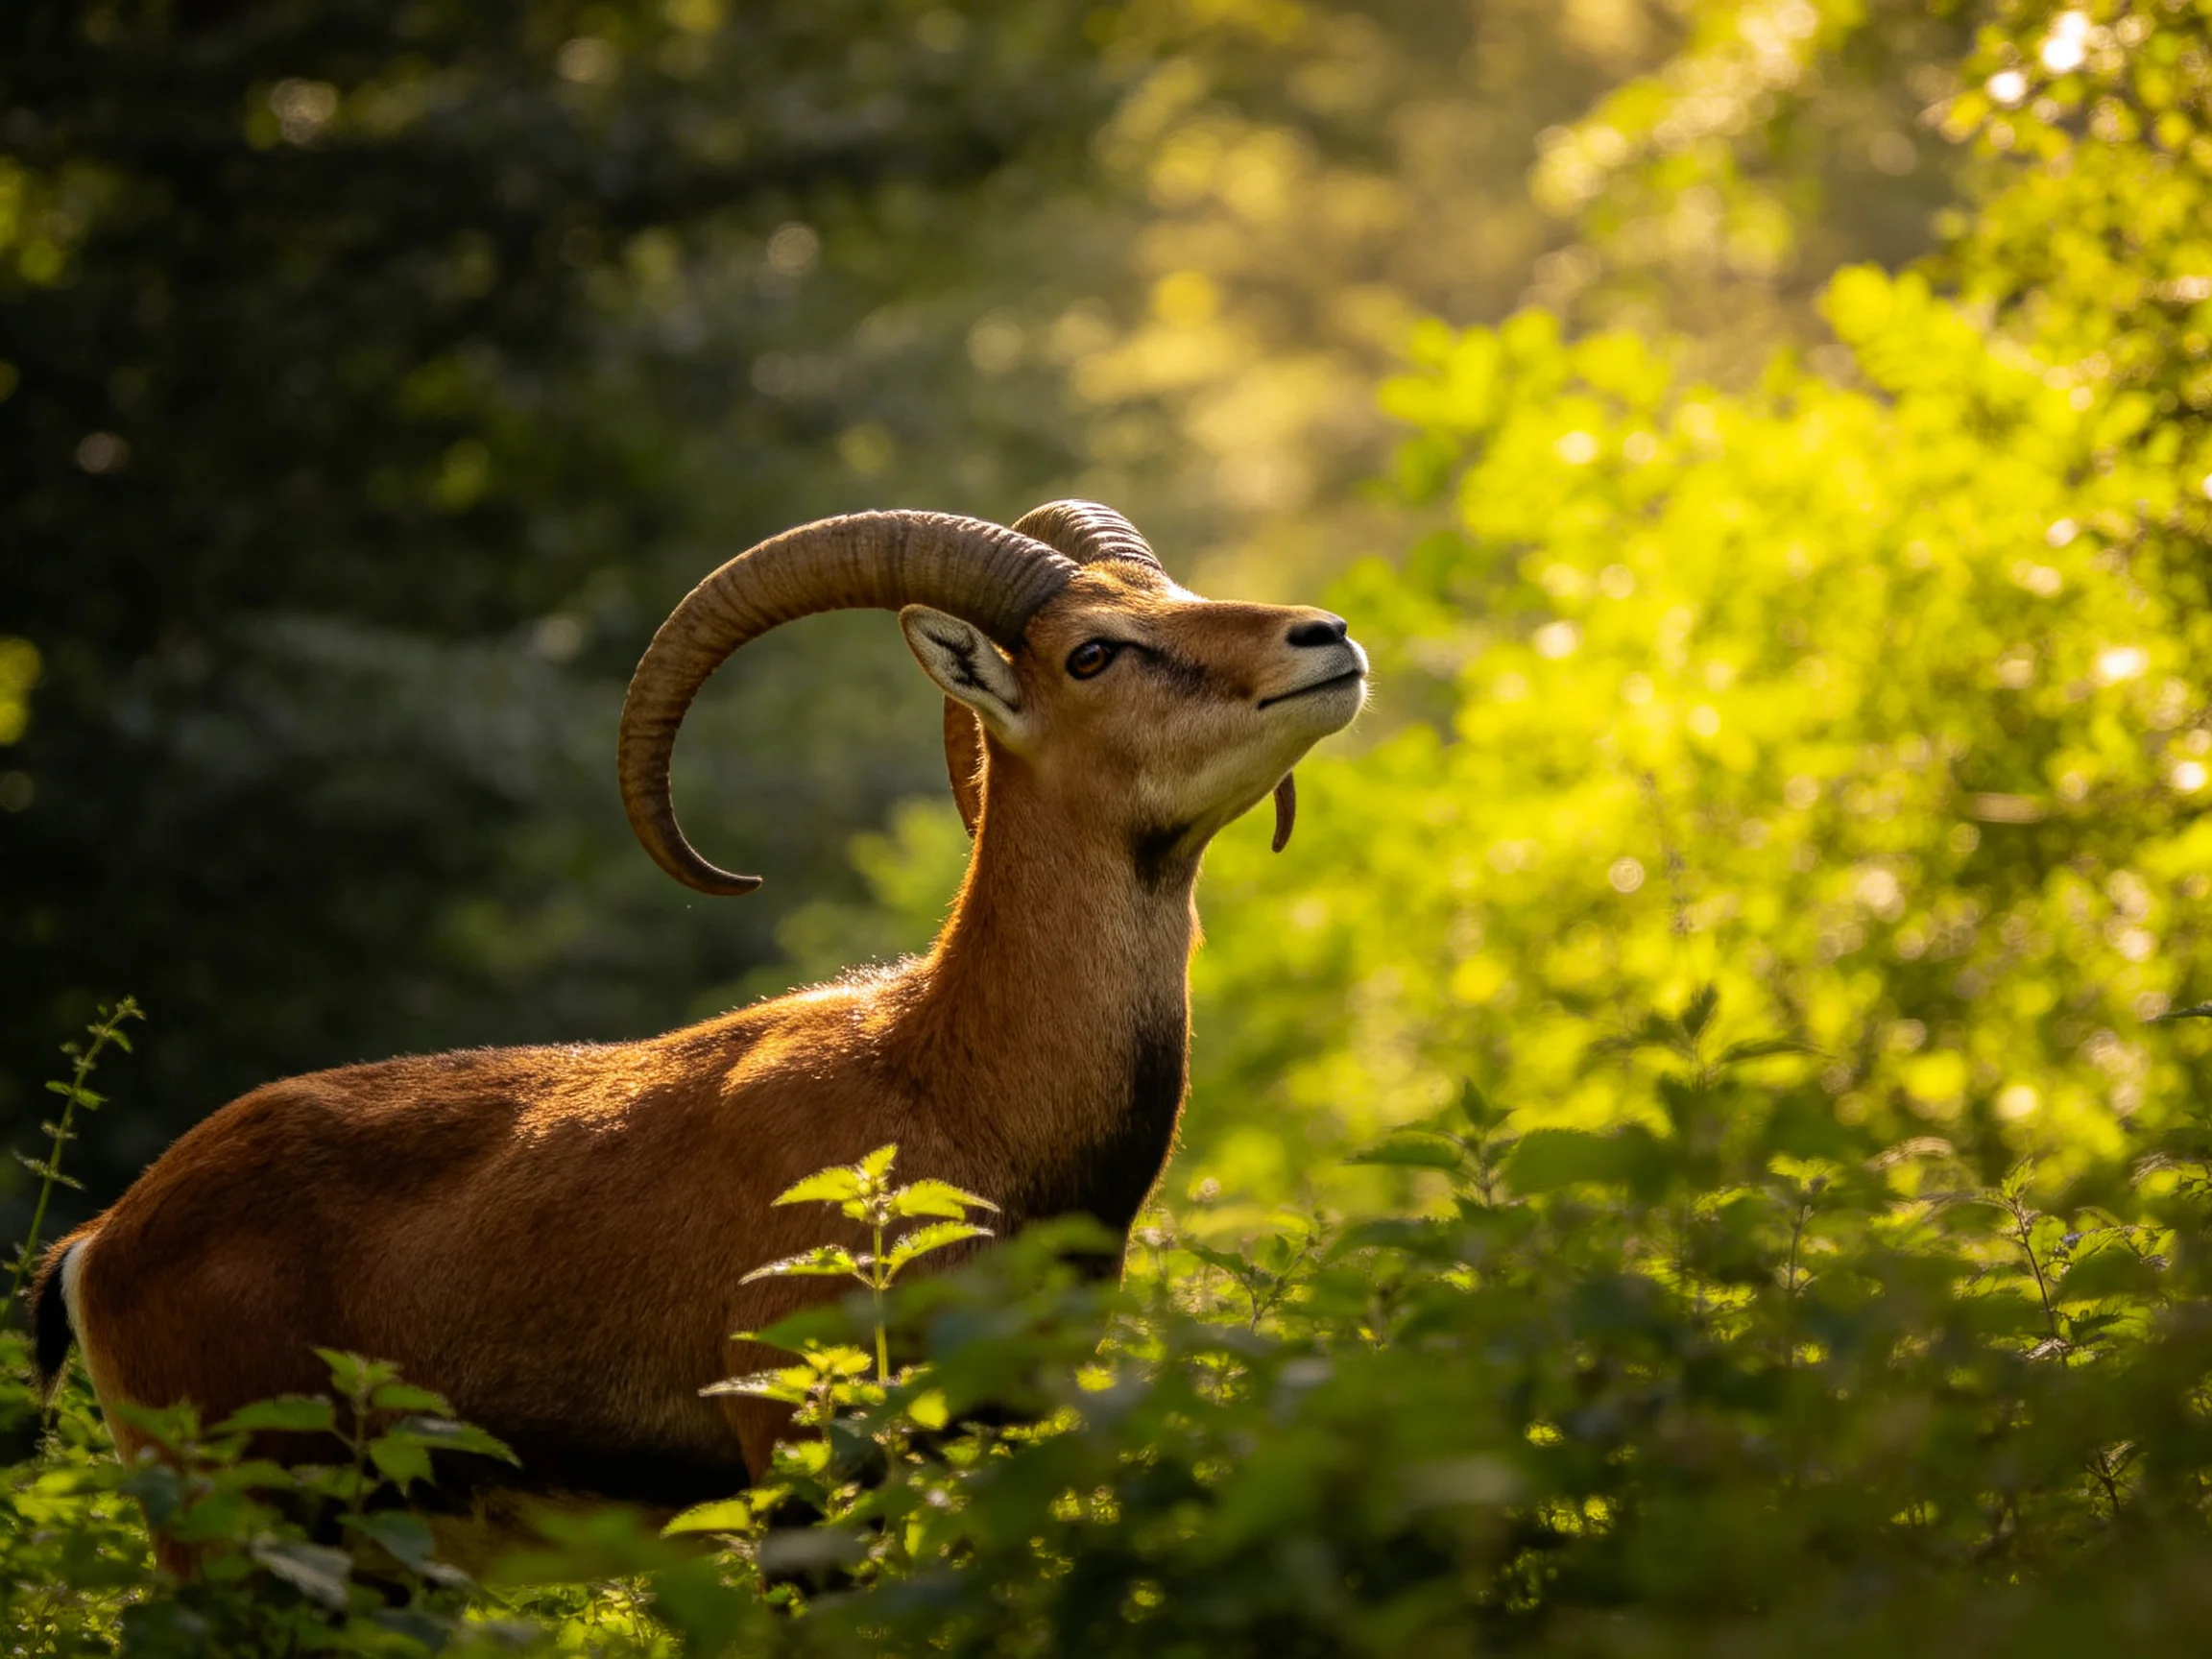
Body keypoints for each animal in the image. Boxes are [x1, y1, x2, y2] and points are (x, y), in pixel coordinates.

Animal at [26, 501, 1367, 1550]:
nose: (1327, 638)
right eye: (1094, 651)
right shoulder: (800, 1455)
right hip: (246, 1507)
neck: (944, 1088)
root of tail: (104, 1239)